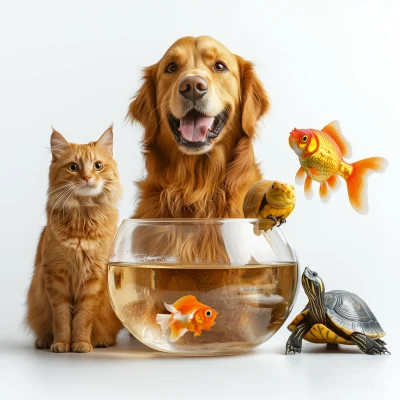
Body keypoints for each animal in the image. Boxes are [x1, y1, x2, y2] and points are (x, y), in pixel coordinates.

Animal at [26, 126, 122, 352]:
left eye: (97, 166)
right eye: (73, 167)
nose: (86, 177)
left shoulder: (94, 279)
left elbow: (83, 318)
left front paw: (81, 343)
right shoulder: (56, 277)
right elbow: (61, 319)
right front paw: (61, 344)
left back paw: (102, 341)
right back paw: (44, 341)